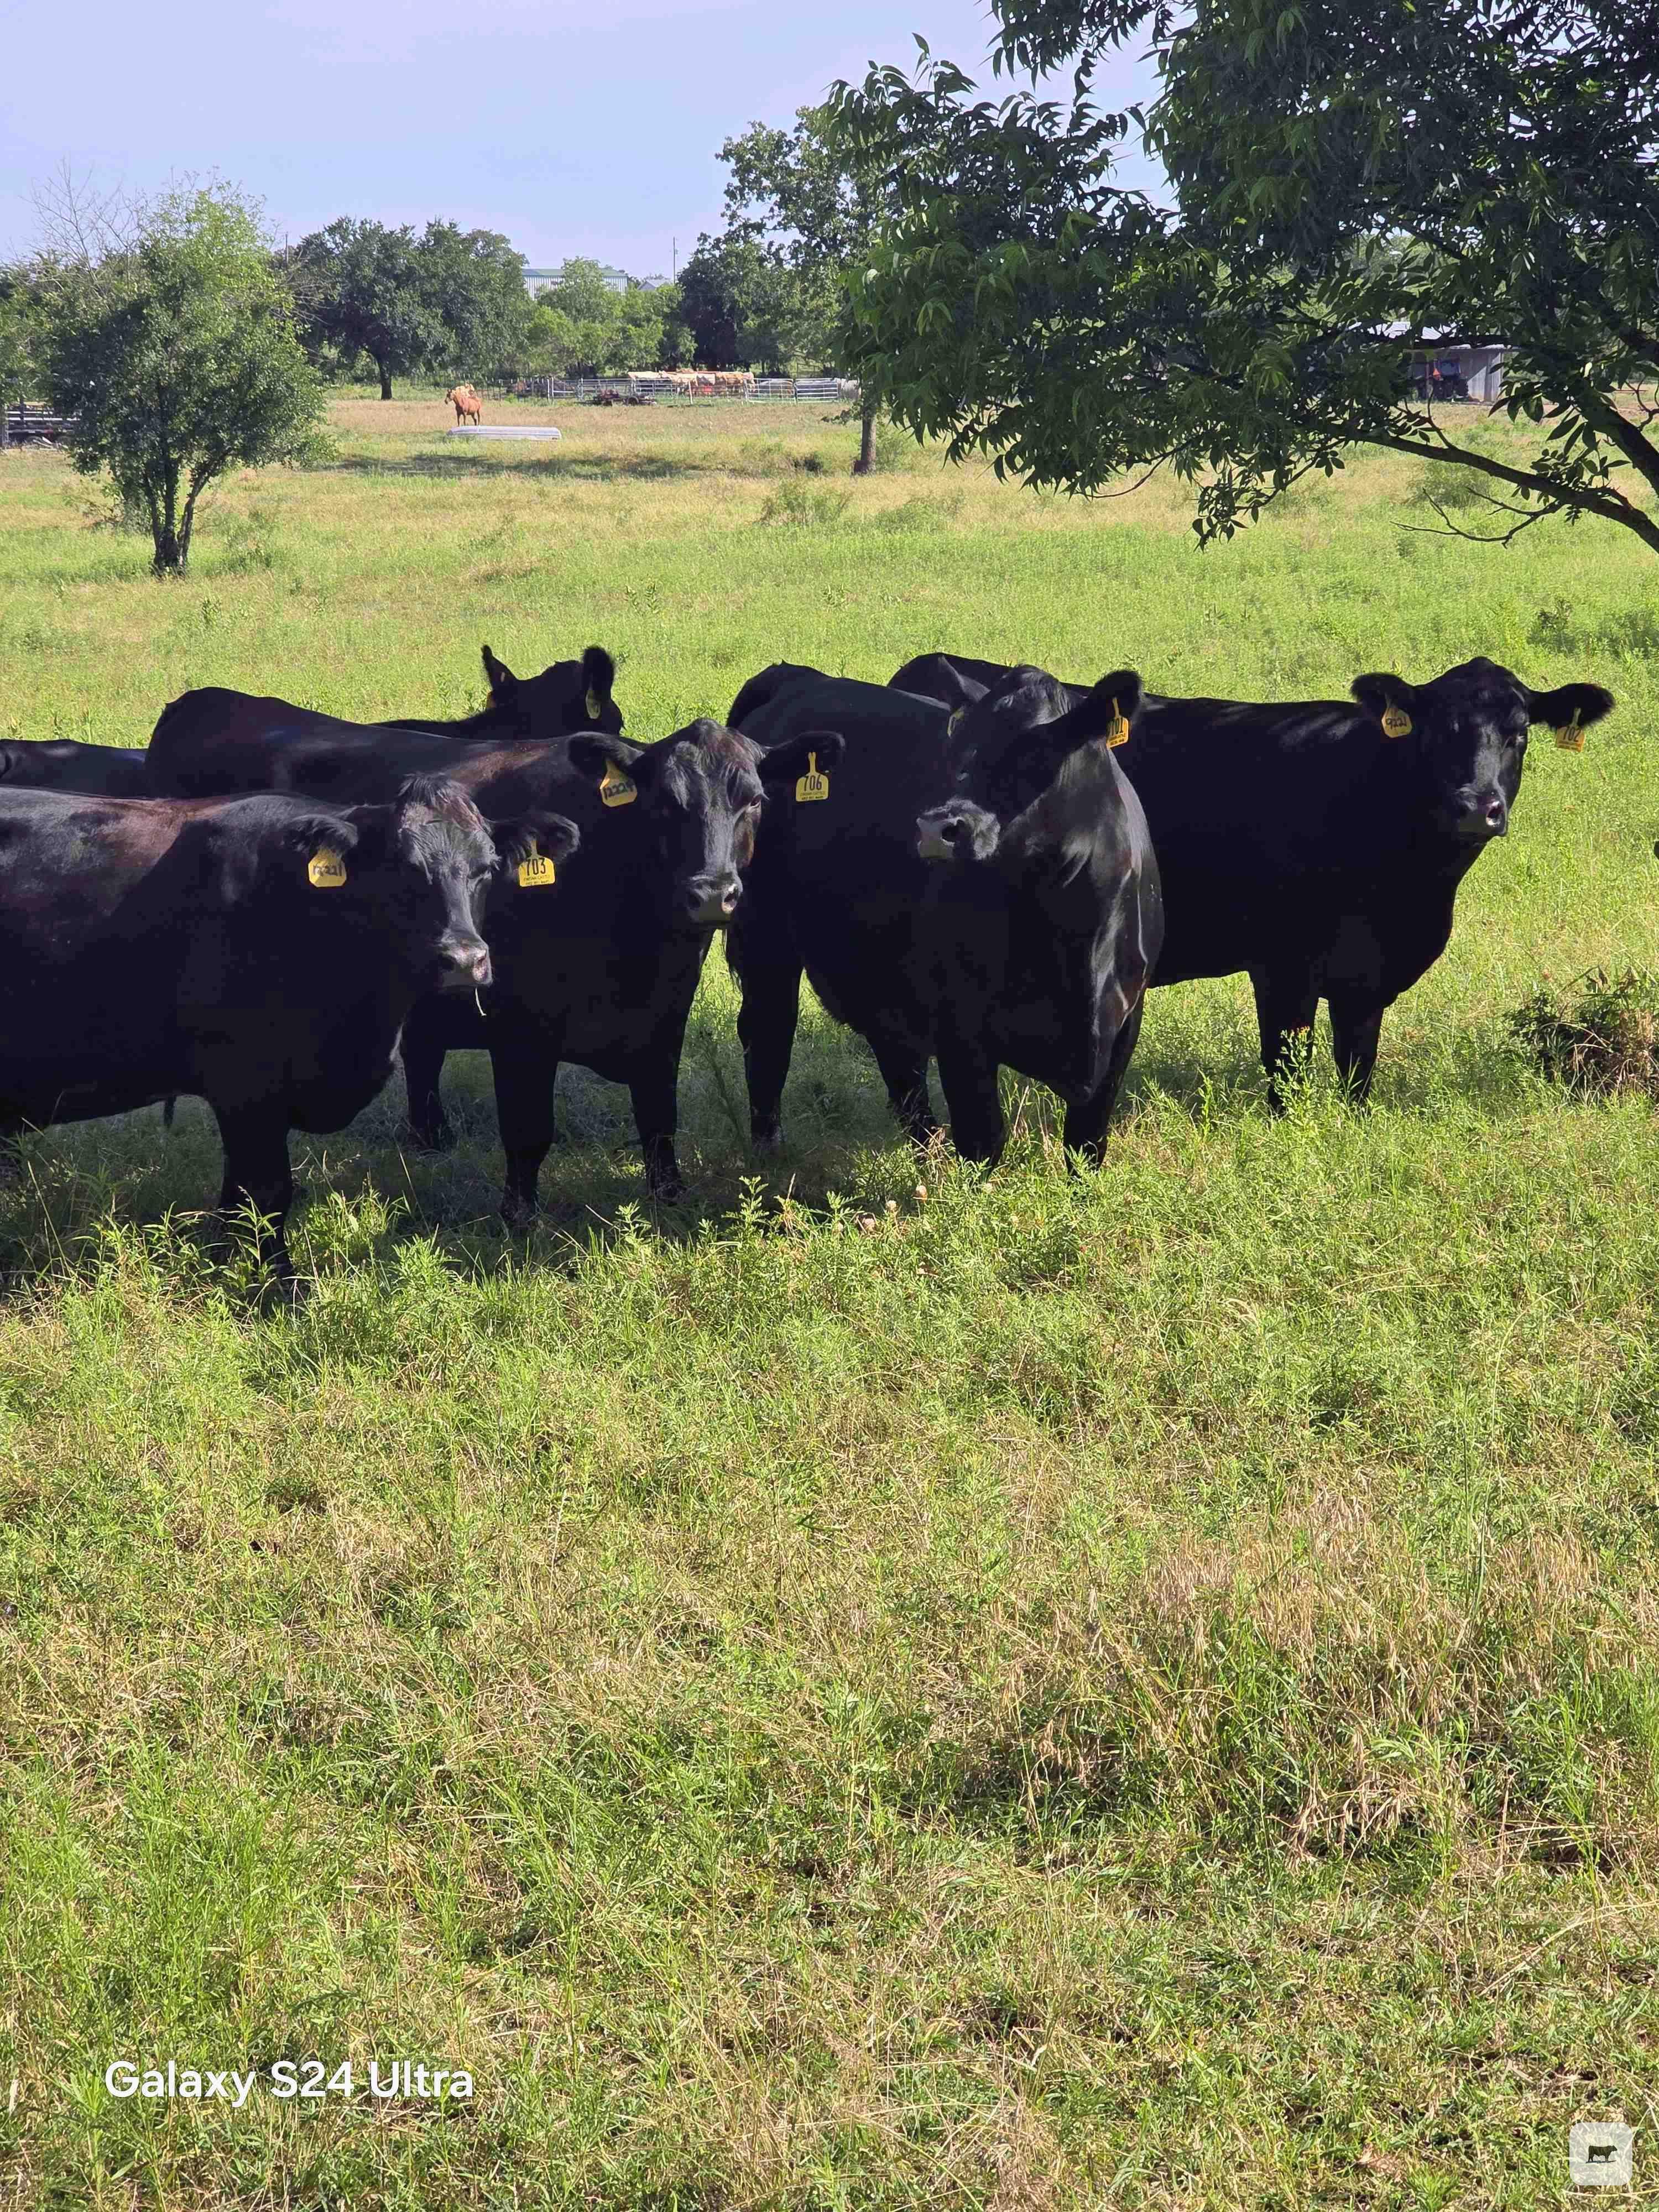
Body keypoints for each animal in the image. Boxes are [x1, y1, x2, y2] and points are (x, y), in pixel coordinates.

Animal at [0, 778, 579, 1287]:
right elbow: (268, 1191)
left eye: (488, 868)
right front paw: (280, 1289)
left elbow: (237, 1197)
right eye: (402, 869)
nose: (463, 959)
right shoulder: (244, 1081)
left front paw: (221, 1265)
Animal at [135, 704, 841, 1215]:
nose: (711, 893)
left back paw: (430, 1139)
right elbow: (529, 1133)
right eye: (665, 803)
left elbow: (659, 1122)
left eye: (754, 801)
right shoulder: (520, 1029)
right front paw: (519, 1218)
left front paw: (670, 1201)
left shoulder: (664, 1019)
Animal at [726, 663, 1161, 1164]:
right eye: (956, 752)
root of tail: (798, 678)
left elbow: (1087, 1143)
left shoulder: (1124, 1022)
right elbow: (982, 1140)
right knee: (768, 1033)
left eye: (1035, 752)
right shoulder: (960, 1024)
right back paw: (769, 1152)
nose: (938, 827)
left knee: (898, 1061)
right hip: (765, 937)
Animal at [891, 652, 1616, 1102]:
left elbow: (1358, 1073)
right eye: (1437, 730)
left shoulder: (1366, 978)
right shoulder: (1284, 965)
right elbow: (1287, 1078)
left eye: (1520, 733)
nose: (1475, 806)